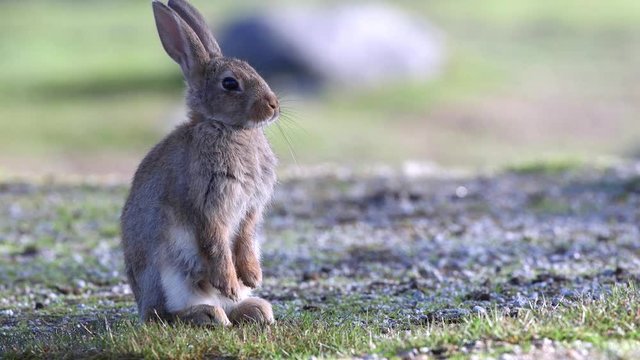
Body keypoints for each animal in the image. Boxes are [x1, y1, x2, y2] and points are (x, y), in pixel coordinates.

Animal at [121, 0, 278, 326]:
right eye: (230, 83)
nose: (273, 105)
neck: (227, 127)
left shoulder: (250, 208)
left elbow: (245, 238)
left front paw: (252, 277)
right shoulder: (205, 205)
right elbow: (215, 243)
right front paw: (230, 282)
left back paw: (255, 308)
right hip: (168, 274)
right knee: (163, 315)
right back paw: (207, 314)